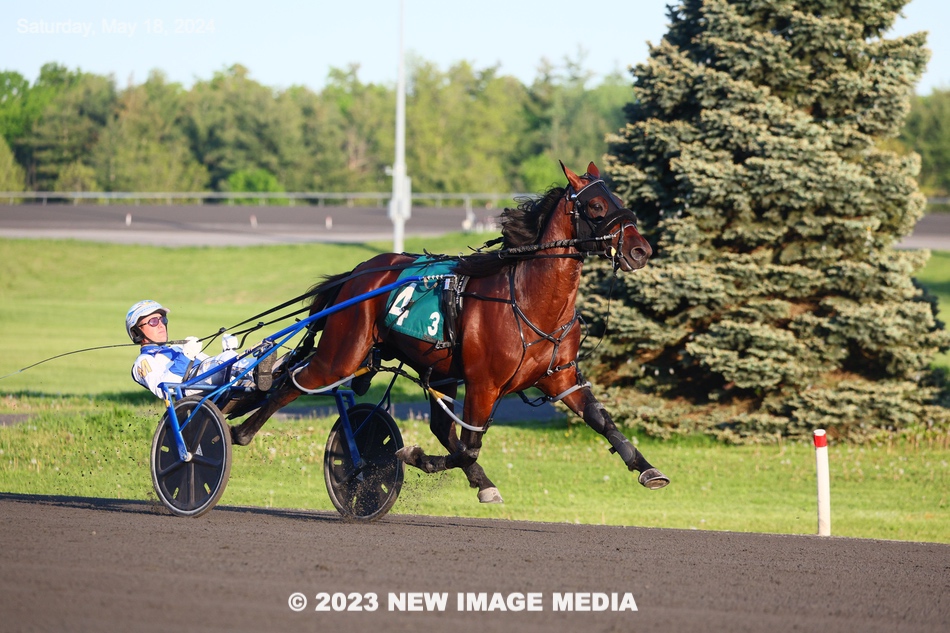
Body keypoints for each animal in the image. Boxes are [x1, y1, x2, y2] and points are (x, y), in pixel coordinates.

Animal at [232, 160, 668, 502]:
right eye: (596, 205)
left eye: (618, 199)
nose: (641, 250)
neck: (529, 301)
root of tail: (360, 272)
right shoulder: (483, 384)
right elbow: (469, 448)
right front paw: (413, 457)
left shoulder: (561, 378)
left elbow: (603, 421)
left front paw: (647, 468)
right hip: (342, 353)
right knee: (291, 383)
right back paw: (238, 433)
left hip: (436, 370)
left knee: (440, 426)